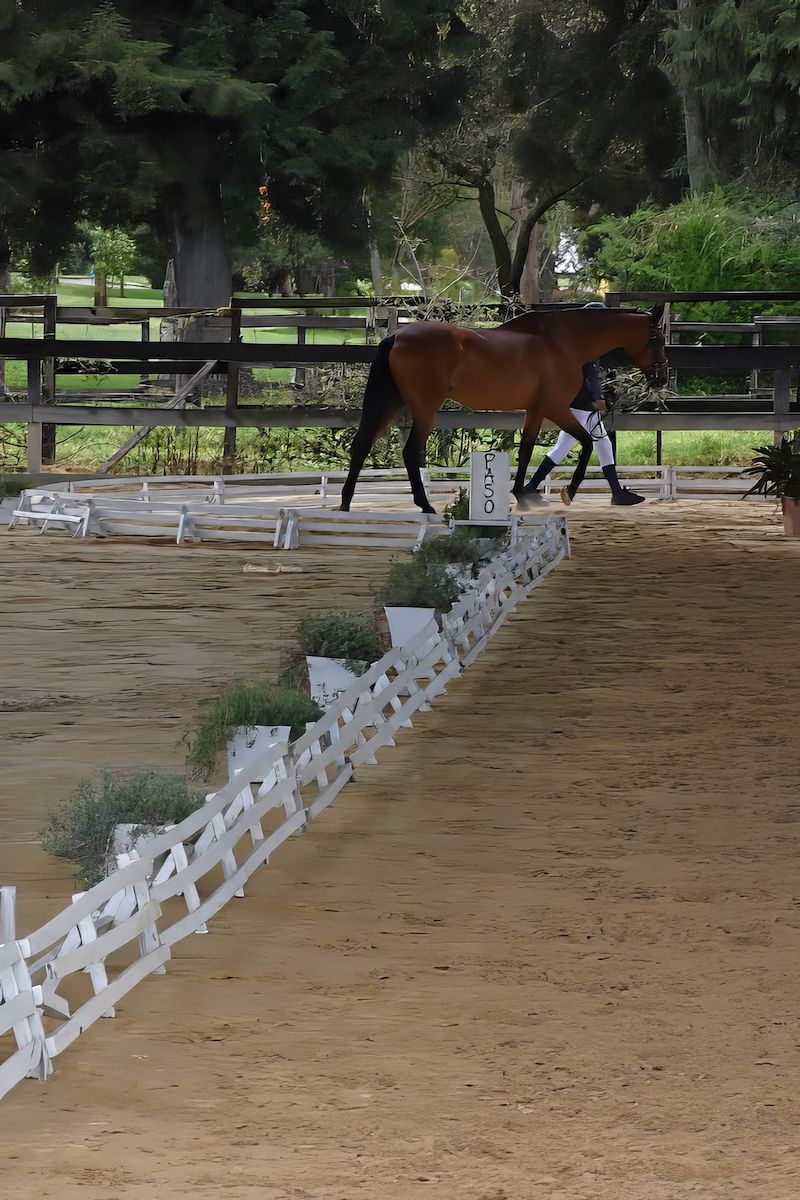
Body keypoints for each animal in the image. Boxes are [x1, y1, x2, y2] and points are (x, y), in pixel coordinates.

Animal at [339, 304, 668, 513]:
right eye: (656, 338)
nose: (662, 377)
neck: (561, 342)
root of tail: (398, 336)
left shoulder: (535, 409)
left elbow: (527, 450)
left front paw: (522, 496)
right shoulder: (555, 407)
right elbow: (587, 444)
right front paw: (568, 493)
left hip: (392, 402)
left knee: (362, 445)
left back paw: (345, 503)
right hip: (424, 407)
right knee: (410, 452)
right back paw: (425, 505)